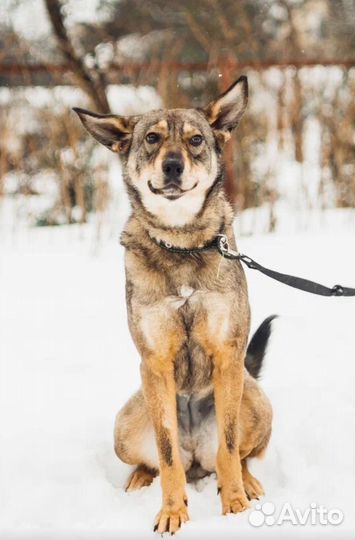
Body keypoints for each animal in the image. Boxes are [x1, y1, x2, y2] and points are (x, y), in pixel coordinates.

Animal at [74, 76, 276, 536]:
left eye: (195, 140)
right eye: (152, 139)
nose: (172, 166)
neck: (181, 244)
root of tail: (196, 454)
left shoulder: (228, 355)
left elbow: (230, 446)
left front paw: (234, 504)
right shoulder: (154, 362)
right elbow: (166, 458)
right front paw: (172, 511)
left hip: (255, 398)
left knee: (237, 455)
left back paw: (249, 482)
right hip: (127, 422)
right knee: (161, 460)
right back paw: (138, 479)